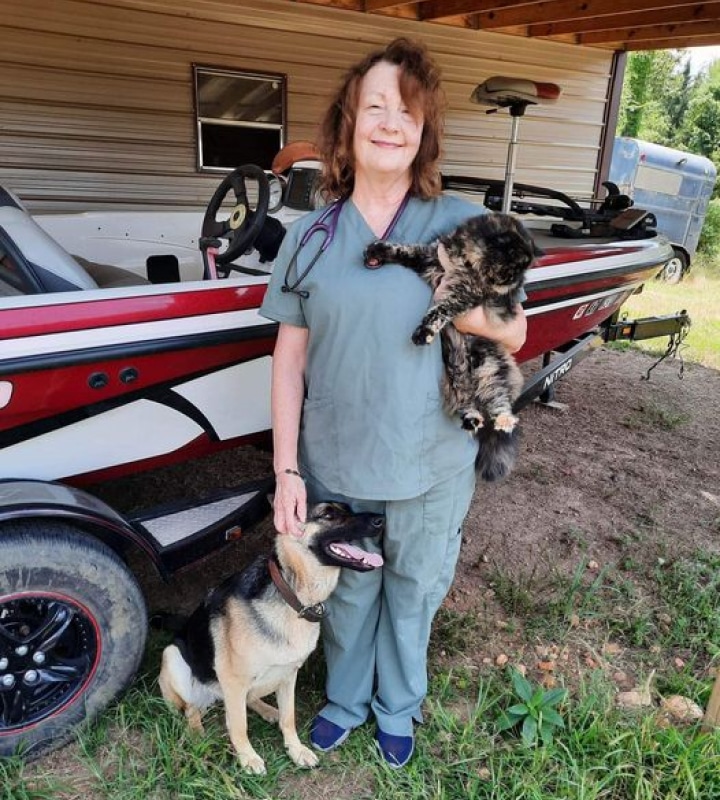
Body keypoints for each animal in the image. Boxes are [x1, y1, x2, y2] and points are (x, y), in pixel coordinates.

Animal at [157, 504, 382, 772]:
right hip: (174, 659)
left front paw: (296, 749)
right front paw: (248, 757)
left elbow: (289, 717)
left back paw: (267, 710)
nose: (381, 519)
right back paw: (196, 734)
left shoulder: (288, 674)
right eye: (328, 515)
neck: (291, 593)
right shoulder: (234, 680)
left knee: (248, 700)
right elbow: (239, 726)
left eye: (349, 509)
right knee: (192, 709)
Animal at [362, 212, 536, 482]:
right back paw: (472, 420)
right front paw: (378, 249)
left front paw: (423, 332)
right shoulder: (430, 257)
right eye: (513, 270)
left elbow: (439, 311)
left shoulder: (463, 292)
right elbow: (404, 249)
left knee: (500, 403)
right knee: (469, 403)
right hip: (457, 374)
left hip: (488, 368)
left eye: (520, 272)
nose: (516, 286)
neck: (465, 259)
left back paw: (503, 421)